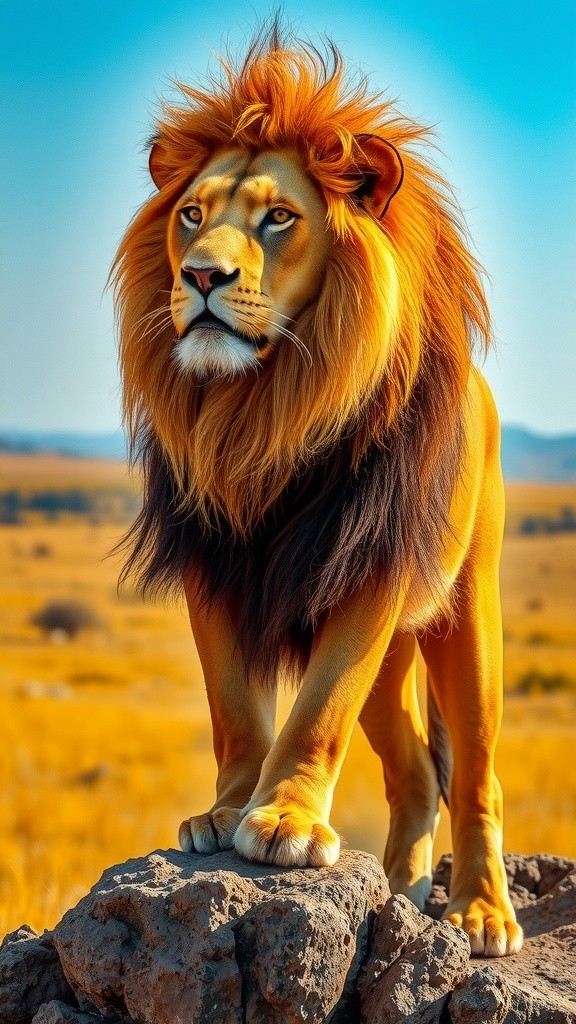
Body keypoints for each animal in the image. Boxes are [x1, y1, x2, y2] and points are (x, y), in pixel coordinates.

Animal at [113, 27, 523, 956]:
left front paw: (285, 821)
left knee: (476, 778)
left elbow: (318, 711)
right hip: (395, 661)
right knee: (414, 771)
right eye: (192, 215)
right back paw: (404, 889)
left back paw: (482, 911)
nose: (200, 277)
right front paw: (227, 810)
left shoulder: (370, 566)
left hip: (465, 612)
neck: (264, 411)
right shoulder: (216, 565)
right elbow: (235, 707)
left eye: (279, 218)